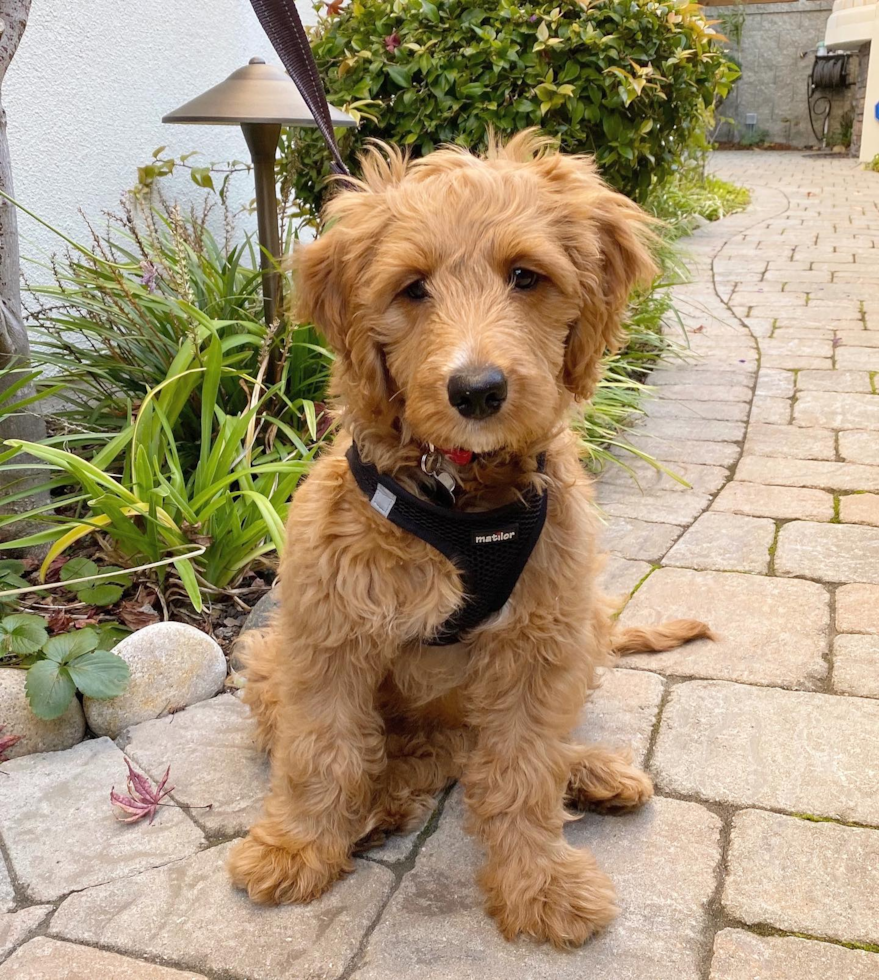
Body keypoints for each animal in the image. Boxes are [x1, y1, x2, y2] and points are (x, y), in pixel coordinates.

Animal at [230, 132, 712, 948]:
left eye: (525, 276)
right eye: (411, 288)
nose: (478, 390)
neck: (457, 498)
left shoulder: (538, 642)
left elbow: (522, 767)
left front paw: (540, 884)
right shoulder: (327, 633)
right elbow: (321, 750)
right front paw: (295, 848)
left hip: (581, 629)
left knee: (481, 752)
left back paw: (585, 771)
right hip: (266, 658)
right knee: (395, 755)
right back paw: (377, 808)